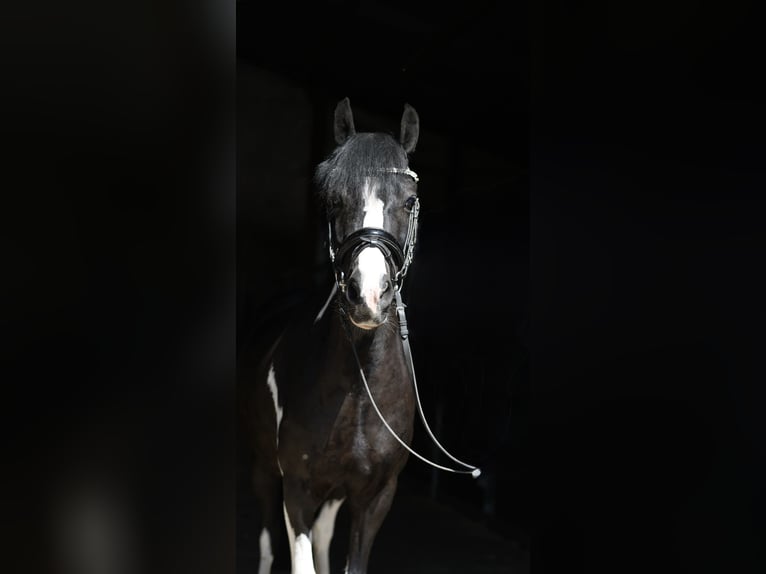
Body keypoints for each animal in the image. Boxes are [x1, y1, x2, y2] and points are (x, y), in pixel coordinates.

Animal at [240, 97, 477, 574]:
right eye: (334, 199)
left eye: (409, 201)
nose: (368, 295)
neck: (359, 385)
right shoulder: (297, 489)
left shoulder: (374, 496)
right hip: (264, 470)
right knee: (266, 541)